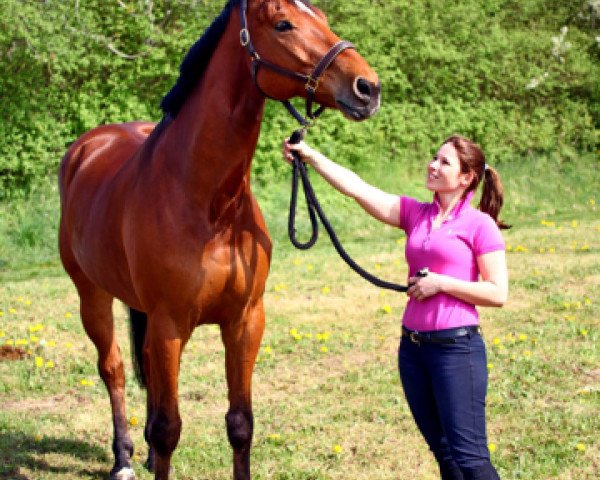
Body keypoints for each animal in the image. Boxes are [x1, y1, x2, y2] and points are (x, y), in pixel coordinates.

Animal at [59, 1, 380, 478]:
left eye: (322, 16)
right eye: (283, 23)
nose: (367, 87)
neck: (210, 205)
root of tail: (85, 148)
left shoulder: (245, 321)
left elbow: (240, 423)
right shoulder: (171, 325)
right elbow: (169, 428)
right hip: (92, 295)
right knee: (113, 369)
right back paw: (123, 458)